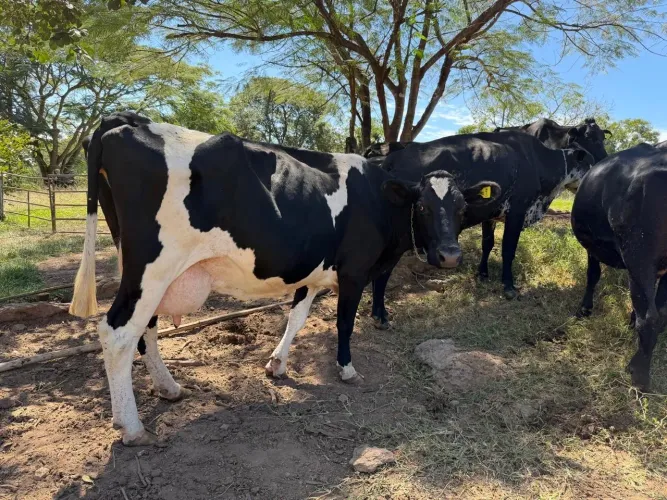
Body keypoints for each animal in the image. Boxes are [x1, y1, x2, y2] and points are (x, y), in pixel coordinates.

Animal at [69, 111, 502, 445]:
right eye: (424, 206)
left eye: (461, 208)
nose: (450, 255)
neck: (379, 196)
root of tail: (129, 120)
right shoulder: (354, 271)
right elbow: (344, 322)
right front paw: (346, 369)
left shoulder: (313, 269)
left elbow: (297, 317)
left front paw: (276, 364)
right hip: (153, 266)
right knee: (118, 333)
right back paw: (132, 426)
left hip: (145, 270)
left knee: (147, 328)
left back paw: (169, 388)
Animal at [366, 131, 595, 328]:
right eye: (591, 164)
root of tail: (392, 157)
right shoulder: (517, 212)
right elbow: (508, 250)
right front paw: (509, 287)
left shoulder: (490, 213)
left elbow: (488, 244)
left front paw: (482, 274)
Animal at [571, 142, 667, 391]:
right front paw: (630, 320)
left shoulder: (592, 245)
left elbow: (592, 275)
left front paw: (584, 309)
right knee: (659, 314)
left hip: (638, 256)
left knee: (650, 318)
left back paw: (639, 375)